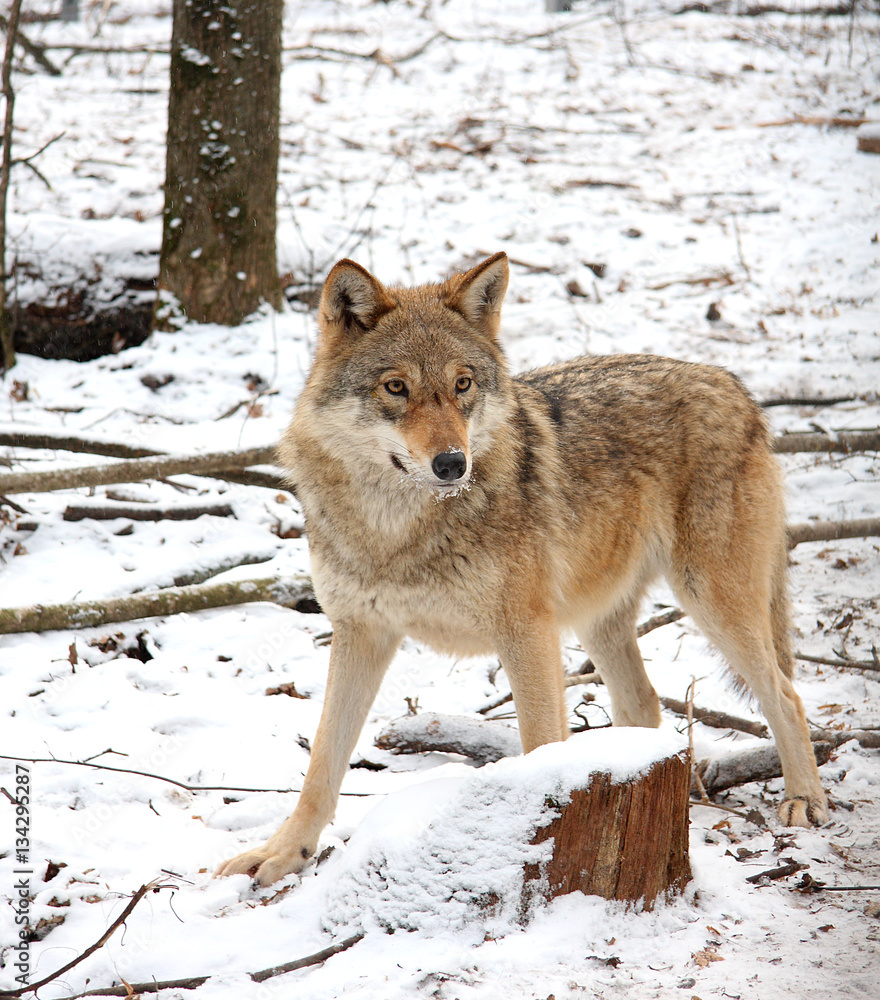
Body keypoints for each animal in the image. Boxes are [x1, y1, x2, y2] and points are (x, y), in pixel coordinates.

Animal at [216, 252, 828, 885]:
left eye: (462, 384)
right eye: (396, 387)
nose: (452, 463)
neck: (397, 529)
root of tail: (732, 383)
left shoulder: (525, 632)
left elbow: (538, 751)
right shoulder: (360, 633)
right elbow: (322, 763)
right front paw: (282, 854)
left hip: (710, 603)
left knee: (787, 696)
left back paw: (804, 800)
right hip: (597, 621)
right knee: (645, 703)